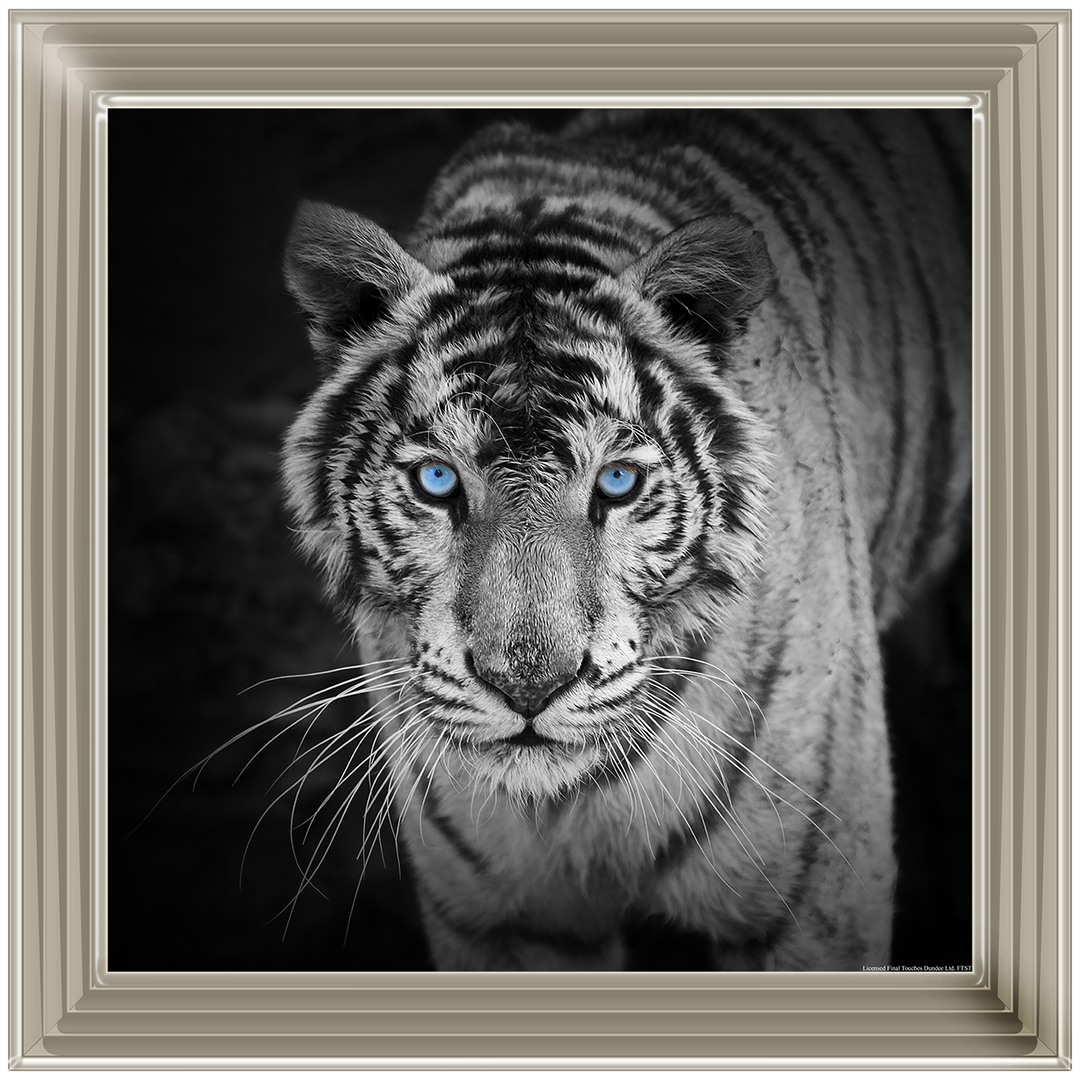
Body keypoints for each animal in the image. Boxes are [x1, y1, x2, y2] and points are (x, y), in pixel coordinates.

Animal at [280, 109, 972, 972]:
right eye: (437, 481)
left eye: (616, 483)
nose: (529, 688)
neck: (571, 804)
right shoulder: (505, 920)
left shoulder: (809, 909)